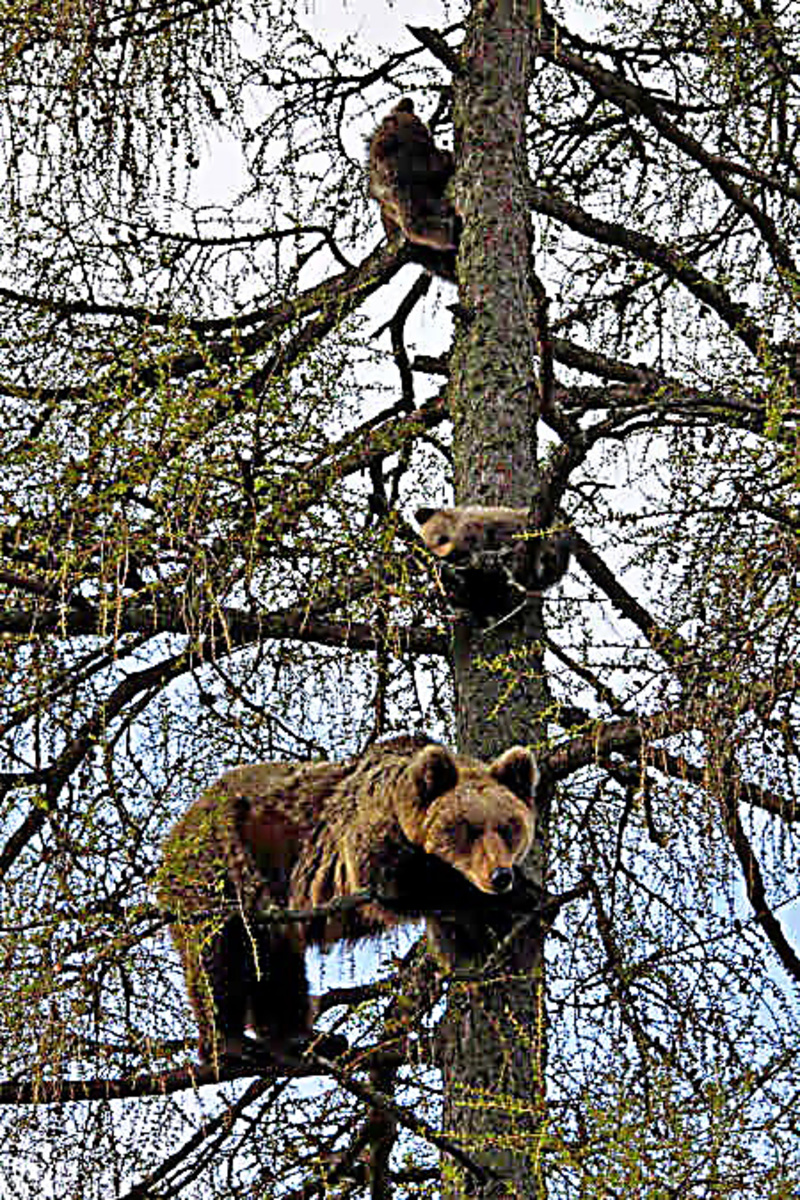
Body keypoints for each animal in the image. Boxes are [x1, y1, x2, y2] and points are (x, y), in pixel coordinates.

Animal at [158, 734, 537, 1065]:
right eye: (467, 829)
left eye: (509, 827)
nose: (499, 876)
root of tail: (174, 832)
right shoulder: (369, 838)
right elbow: (399, 883)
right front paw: (520, 897)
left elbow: (460, 940)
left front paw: (494, 930)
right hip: (220, 871)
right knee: (218, 956)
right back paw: (230, 1045)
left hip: (269, 910)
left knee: (278, 967)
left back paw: (305, 1039)